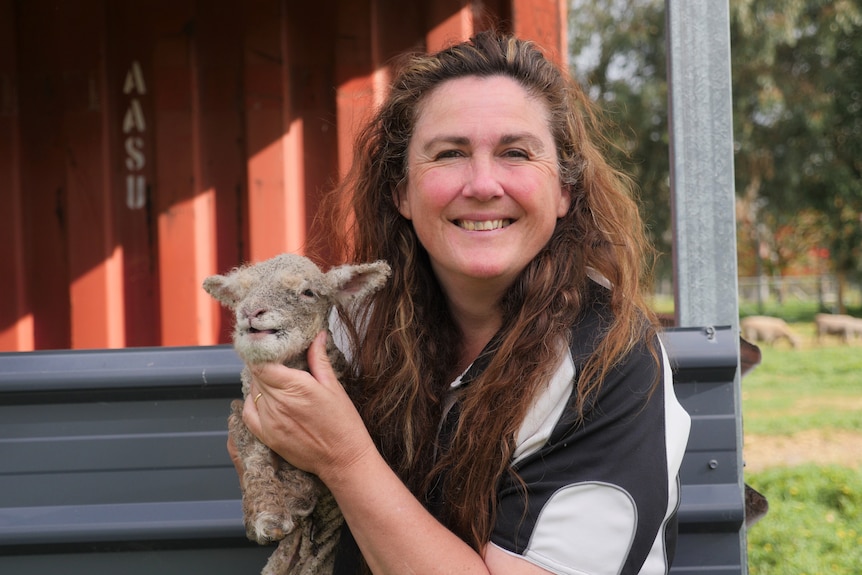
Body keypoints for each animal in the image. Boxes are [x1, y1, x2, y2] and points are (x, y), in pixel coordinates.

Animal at [202, 253, 392, 575]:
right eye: (240, 294)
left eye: (308, 292)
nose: (251, 312)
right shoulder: (242, 414)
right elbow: (255, 457)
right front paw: (268, 515)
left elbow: (303, 472)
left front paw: (290, 500)